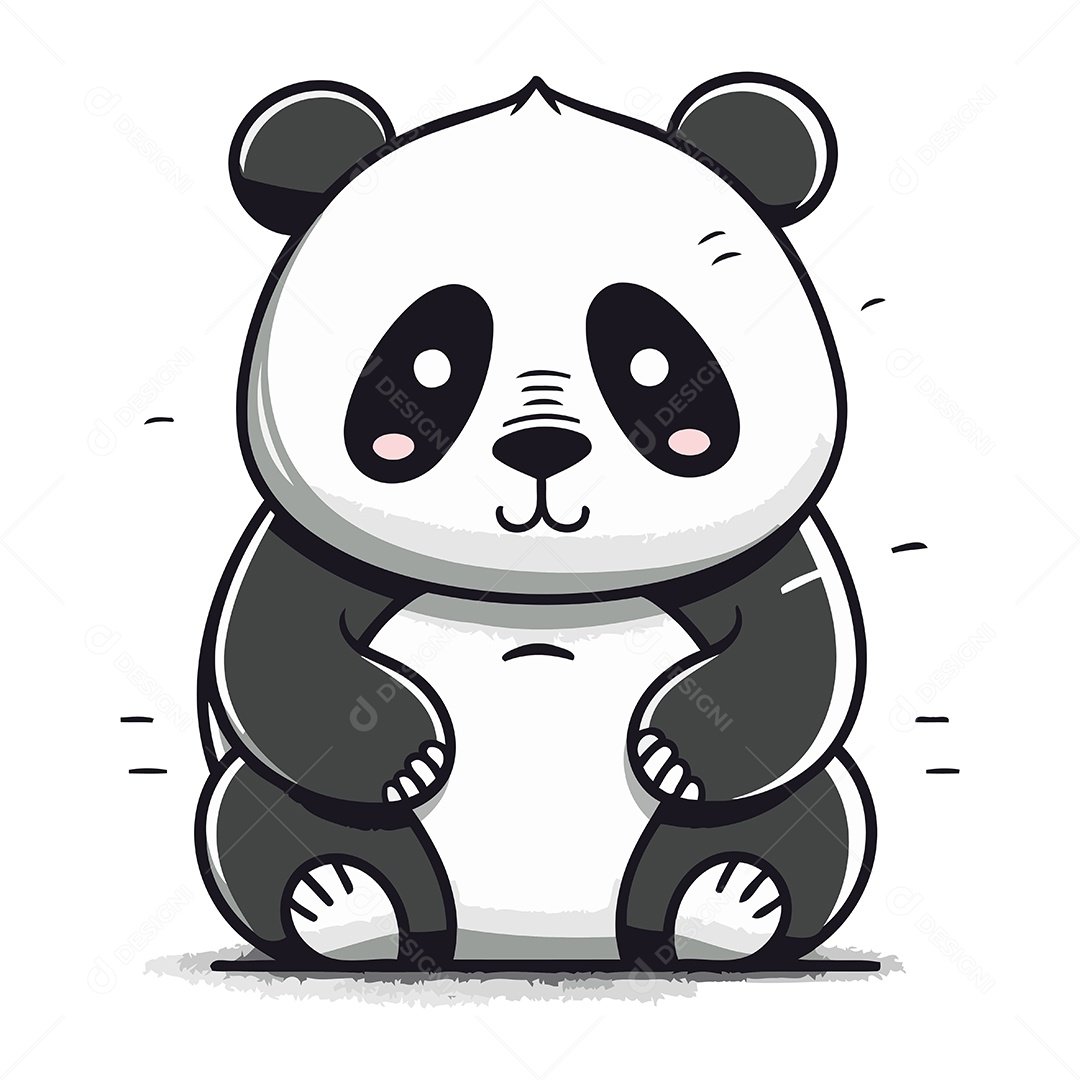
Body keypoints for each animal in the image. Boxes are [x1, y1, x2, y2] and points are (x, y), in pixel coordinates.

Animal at [195, 74, 875, 971]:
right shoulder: (314, 546)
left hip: (775, 822)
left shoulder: (758, 553)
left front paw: (675, 753)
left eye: (651, 359)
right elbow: (272, 647)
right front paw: (409, 756)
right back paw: (342, 901)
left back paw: (728, 900)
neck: (539, 586)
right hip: (288, 817)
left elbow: (801, 643)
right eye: (430, 362)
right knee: (270, 824)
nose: (541, 448)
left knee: (798, 827)